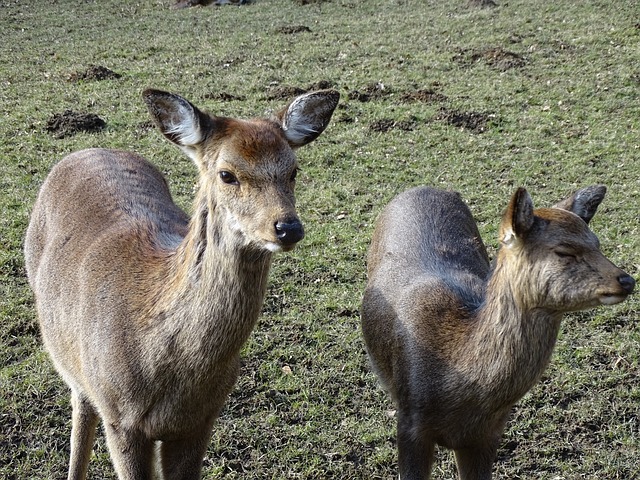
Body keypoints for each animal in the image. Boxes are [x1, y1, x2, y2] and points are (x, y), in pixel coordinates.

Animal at [23, 87, 340, 480]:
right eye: (227, 174)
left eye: (294, 170)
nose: (287, 227)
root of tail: (88, 150)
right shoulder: (121, 418)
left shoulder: (201, 421)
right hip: (76, 360)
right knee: (81, 403)